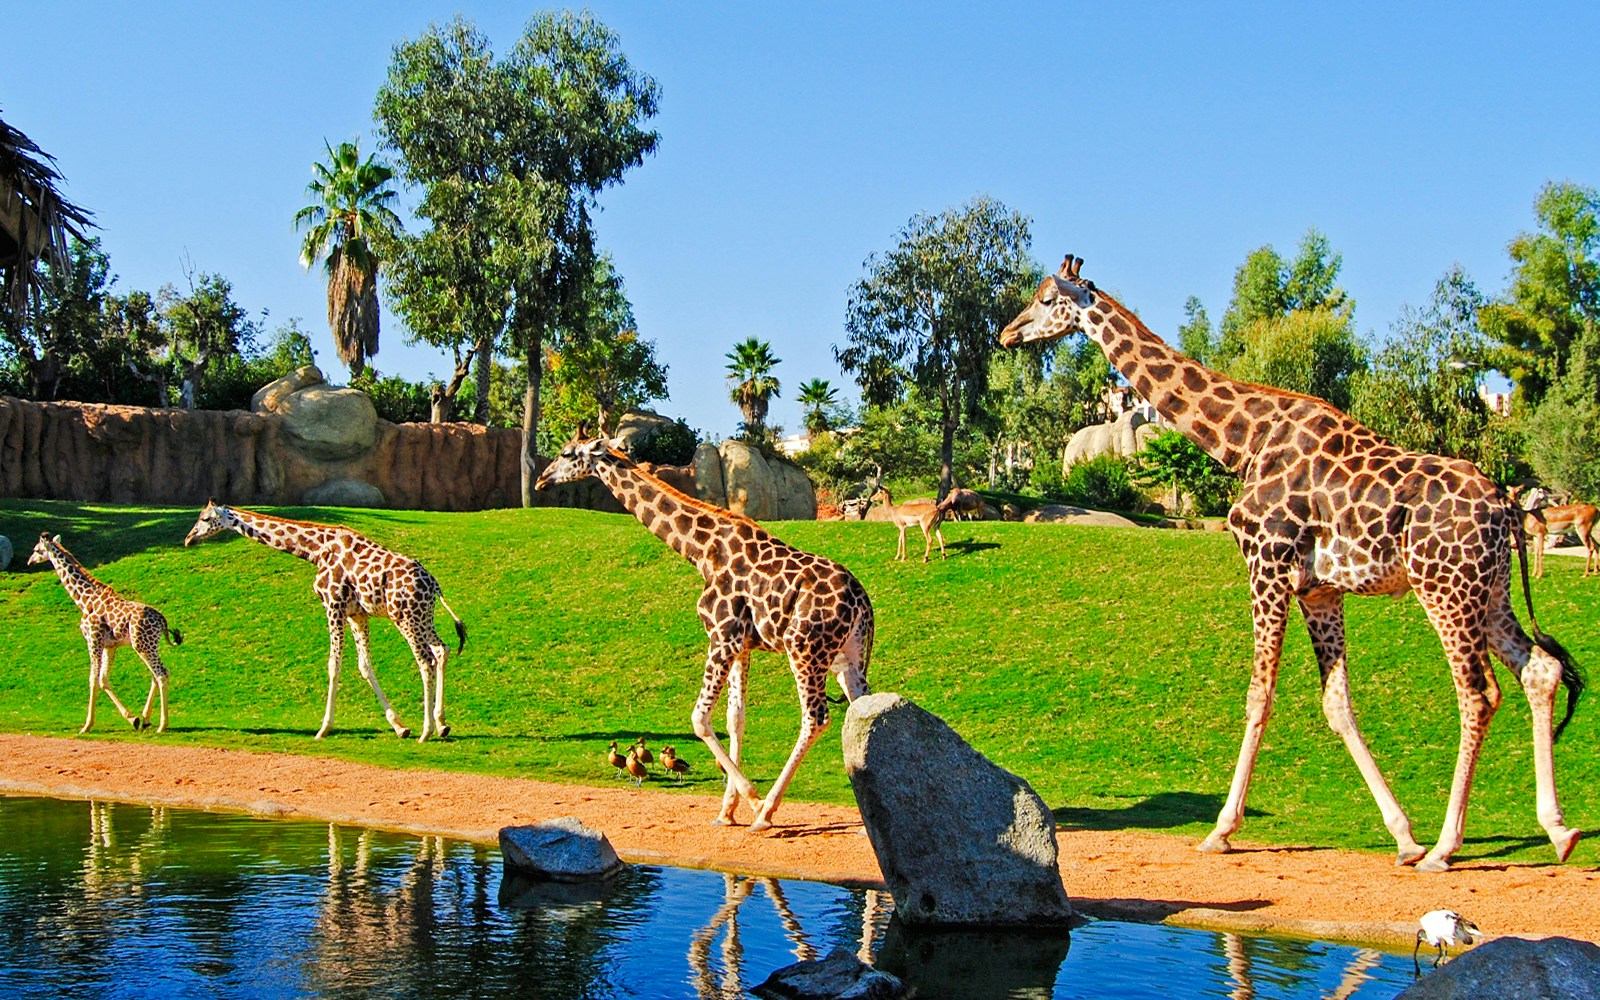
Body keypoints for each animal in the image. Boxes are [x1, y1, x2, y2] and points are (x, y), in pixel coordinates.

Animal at [27, 531, 180, 732]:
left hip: (143, 645)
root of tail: (162, 620)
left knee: (161, 674)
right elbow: (103, 679)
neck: (84, 600)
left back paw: (162, 725)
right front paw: (133, 719)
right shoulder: (110, 646)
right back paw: (146, 719)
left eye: (37, 549)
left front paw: (86, 726)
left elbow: (92, 679)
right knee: (155, 675)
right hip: (146, 646)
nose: (30, 561)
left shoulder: (93, 639)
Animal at [184, 499, 467, 742]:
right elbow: (364, 666)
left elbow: (333, 664)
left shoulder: (333, 605)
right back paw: (441, 724)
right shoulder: (356, 613)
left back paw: (426, 731)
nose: (188, 538)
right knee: (441, 649)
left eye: (205, 518)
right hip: (423, 617)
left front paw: (323, 729)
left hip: (405, 617)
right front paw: (399, 726)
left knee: (425, 661)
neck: (317, 550)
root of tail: (434, 585)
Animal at [534, 432, 876, 832]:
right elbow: (735, 718)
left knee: (816, 718)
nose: (541, 480)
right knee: (864, 710)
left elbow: (699, 718)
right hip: (846, 658)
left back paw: (767, 811)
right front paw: (727, 811)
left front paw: (751, 799)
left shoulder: (721, 635)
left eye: (567, 453)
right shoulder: (742, 645)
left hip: (805, 650)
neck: (701, 552)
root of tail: (863, 601)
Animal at [1004, 252, 1580, 870]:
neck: (1244, 440)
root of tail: (1506, 506)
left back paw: (1448, 847)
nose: (1008, 333)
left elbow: (1259, 694)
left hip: (1445, 587)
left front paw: (1221, 830)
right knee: (1540, 671)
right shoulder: (1318, 589)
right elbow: (1337, 704)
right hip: (1489, 590)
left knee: (1478, 693)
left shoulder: (1267, 563)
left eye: (1044, 299)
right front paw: (1403, 835)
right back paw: (1558, 830)